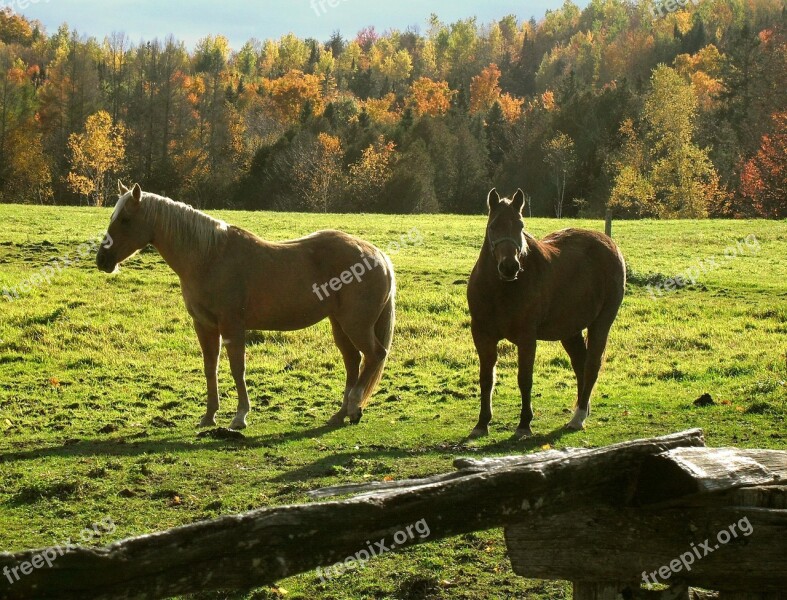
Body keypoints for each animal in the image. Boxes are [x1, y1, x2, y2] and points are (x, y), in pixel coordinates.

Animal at [97, 183, 394, 432]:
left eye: (125, 220)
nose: (102, 260)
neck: (209, 257)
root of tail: (378, 255)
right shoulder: (204, 325)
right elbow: (211, 367)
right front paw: (209, 416)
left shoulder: (232, 326)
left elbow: (237, 367)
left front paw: (240, 416)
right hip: (339, 324)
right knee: (353, 361)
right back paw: (340, 414)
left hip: (356, 324)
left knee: (374, 355)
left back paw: (353, 407)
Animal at [468, 190, 628, 438]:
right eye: (493, 226)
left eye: (520, 225)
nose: (509, 267)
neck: (501, 289)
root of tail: (609, 244)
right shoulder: (482, 335)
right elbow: (486, 378)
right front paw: (482, 423)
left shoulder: (526, 338)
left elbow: (524, 379)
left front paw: (524, 424)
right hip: (570, 329)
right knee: (580, 363)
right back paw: (583, 409)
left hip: (601, 323)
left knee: (591, 365)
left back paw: (578, 418)